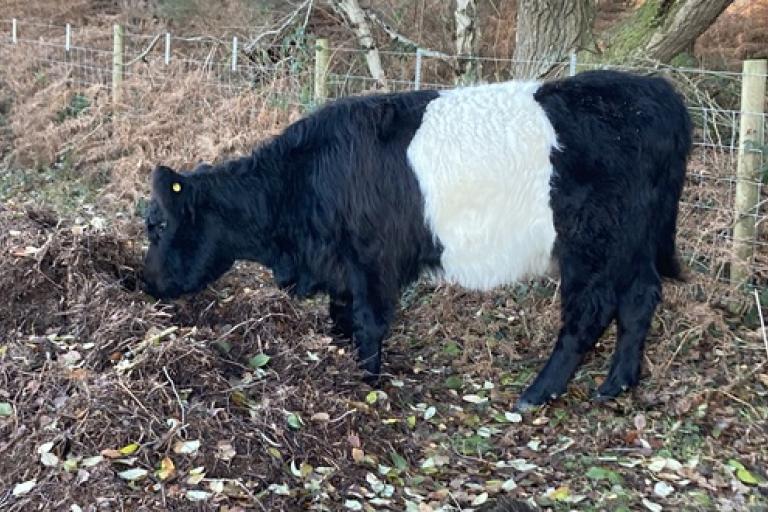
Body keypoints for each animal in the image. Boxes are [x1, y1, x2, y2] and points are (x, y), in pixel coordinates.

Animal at [142, 70, 692, 410]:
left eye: (160, 225)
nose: (144, 284)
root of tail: (653, 90)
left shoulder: (371, 261)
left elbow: (368, 322)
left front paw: (365, 380)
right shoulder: (343, 268)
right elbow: (341, 317)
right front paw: (339, 364)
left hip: (591, 244)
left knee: (588, 314)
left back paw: (537, 394)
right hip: (631, 245)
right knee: (640, 298)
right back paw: (617, 384)